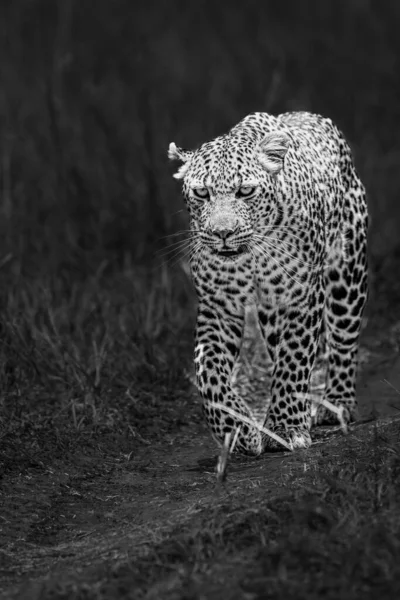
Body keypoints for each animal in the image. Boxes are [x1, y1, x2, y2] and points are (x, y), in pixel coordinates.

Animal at [167, 111, 368, 454]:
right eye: (202, 193)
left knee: (342, 339)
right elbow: (209, 373)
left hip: (348, 272)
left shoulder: (302, 295)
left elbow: (295, 358)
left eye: (245, 191)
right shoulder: (218, 305)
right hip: (272, 311)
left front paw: (284, 426)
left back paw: (336, 403)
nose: (223, 233)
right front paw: (237, 429)